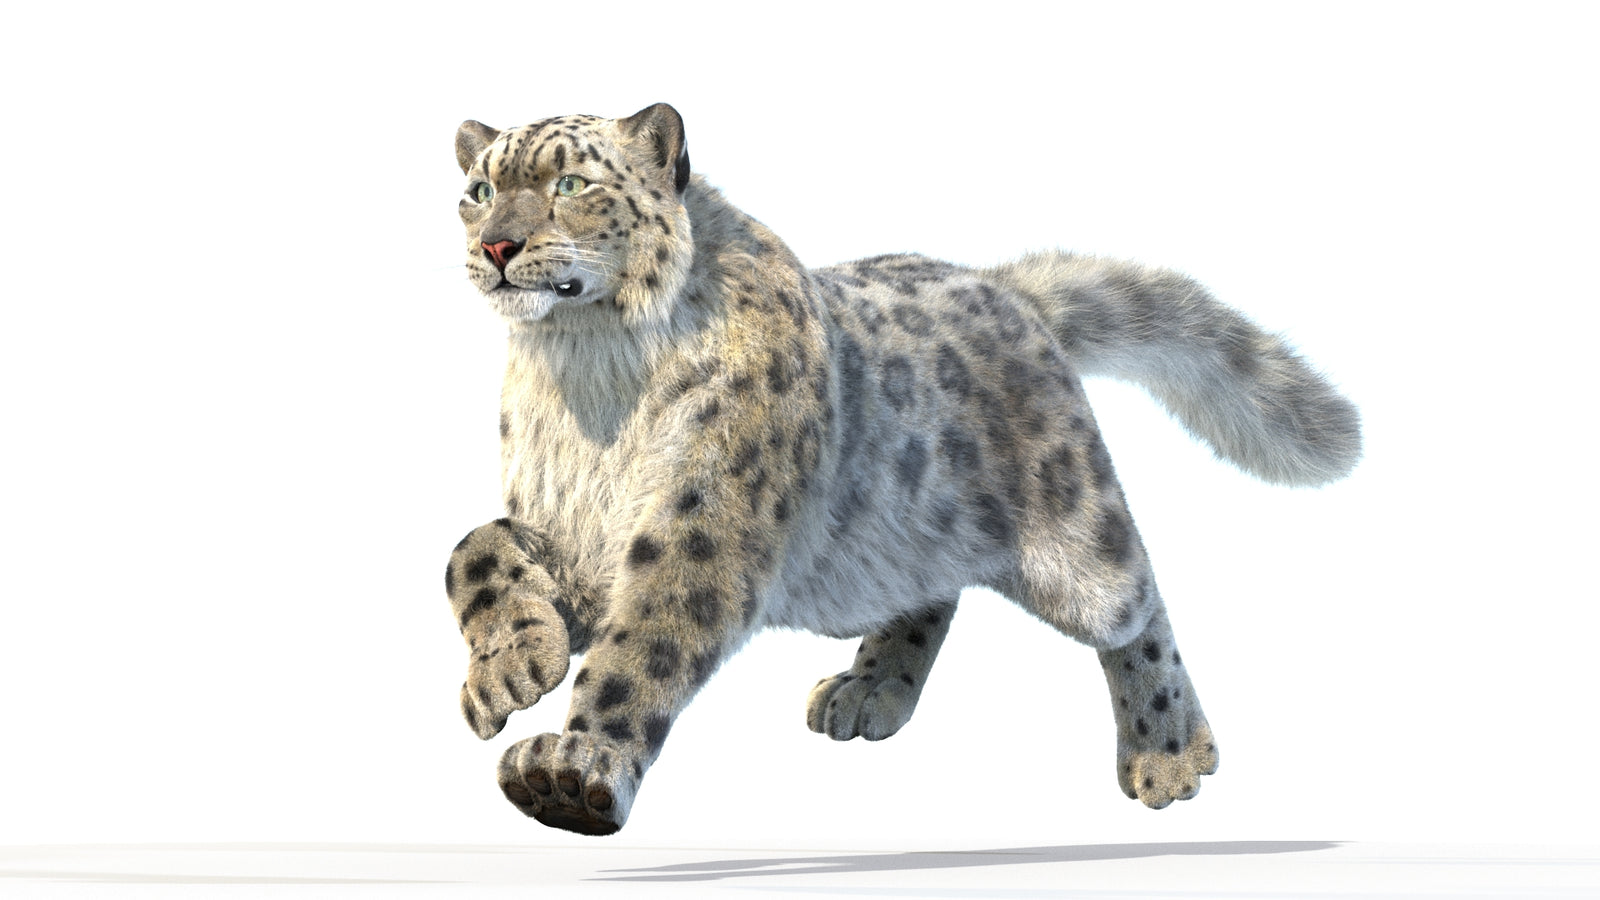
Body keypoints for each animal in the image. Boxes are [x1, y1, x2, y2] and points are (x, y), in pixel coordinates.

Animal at [442, 103, 1361, 836]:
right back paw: (867, 690)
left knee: (1139, 603)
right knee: (932, 591)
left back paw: (1169, 753)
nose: (496, 244)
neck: (588, 380)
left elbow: (644, 644)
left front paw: (572, 768)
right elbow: (472, 549)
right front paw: (509, 669)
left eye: (569, 183)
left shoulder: (700, 520)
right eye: (480, 190)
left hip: (1077, 539)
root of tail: (1005, 289)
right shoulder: (577, 534)